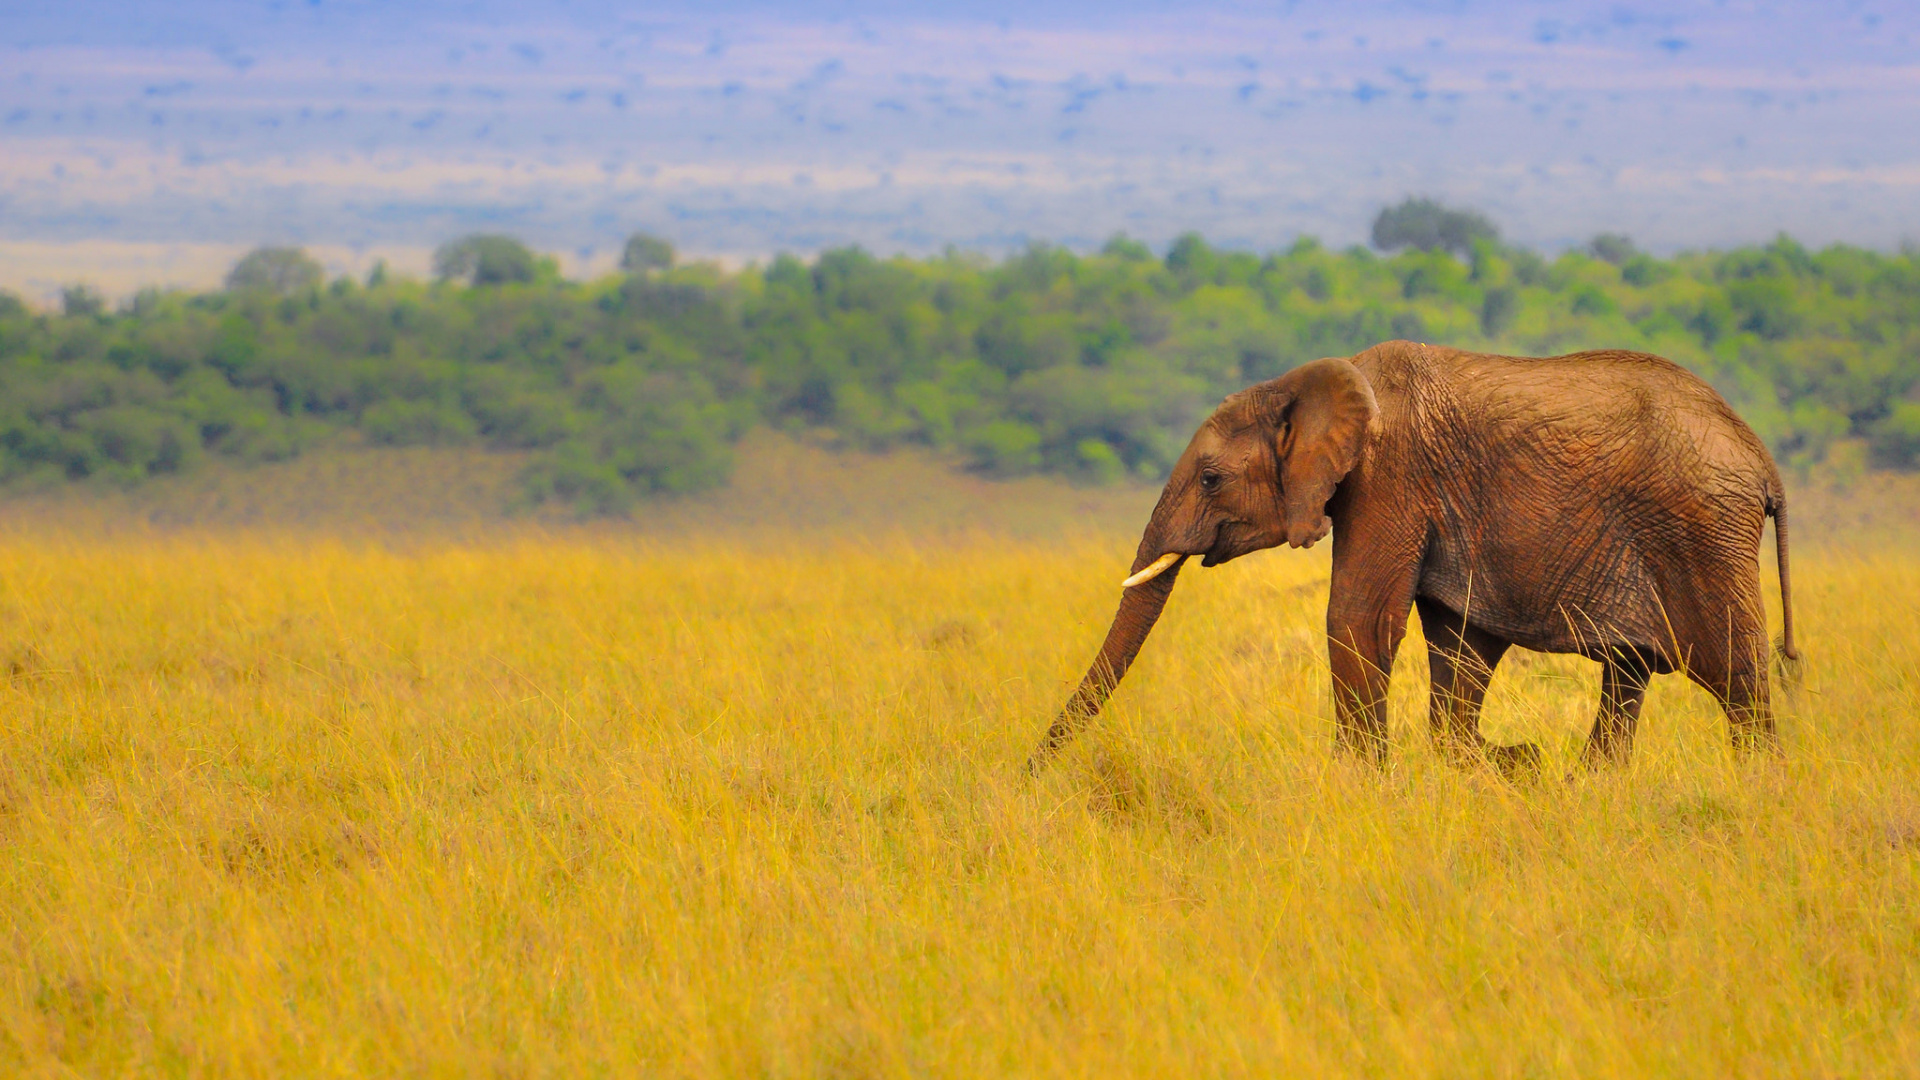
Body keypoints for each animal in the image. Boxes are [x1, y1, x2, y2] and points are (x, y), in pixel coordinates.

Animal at [1028, 340, 1799, 773]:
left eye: (1213, 478)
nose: (1028, 771)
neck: (1310, 383)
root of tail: (1763, 460)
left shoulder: (1390, 478)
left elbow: (1358, 622)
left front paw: (1361, 784)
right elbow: (1459, 642)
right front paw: (1505, 762)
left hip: (1704, 533)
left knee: (1738, 677)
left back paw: (1759, 788)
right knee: (1630, 673)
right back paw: (1591, 781)